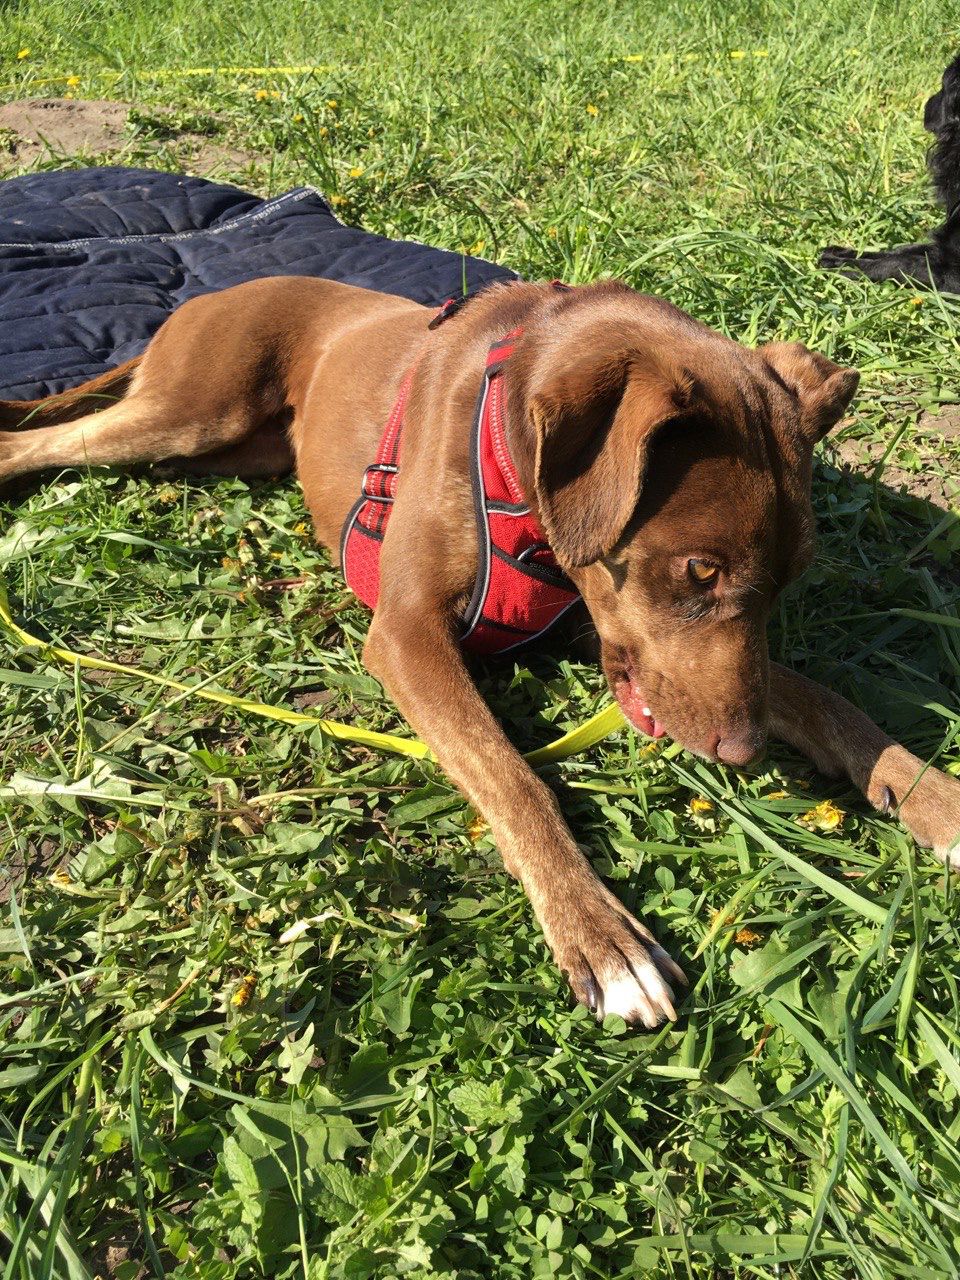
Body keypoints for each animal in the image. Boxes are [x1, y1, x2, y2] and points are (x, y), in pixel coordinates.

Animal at [2, 276, 959, 1027]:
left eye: (792, 580)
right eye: (699, 569)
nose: (745, 753)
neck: (508, 441)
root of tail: (211, 294)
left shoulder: (584, 623)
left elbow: (824, 696)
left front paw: (928, 793)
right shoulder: (406, 634)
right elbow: (512, 774)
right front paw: (601, 938)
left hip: (232, 447)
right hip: (189, 410)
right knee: (34, 443)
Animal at [820, 54, 960, 292]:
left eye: (942, 85)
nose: (926, 103)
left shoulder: (952, 271)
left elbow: (899, 263)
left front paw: (842, 266)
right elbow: (899, 250)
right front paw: (843, 253)